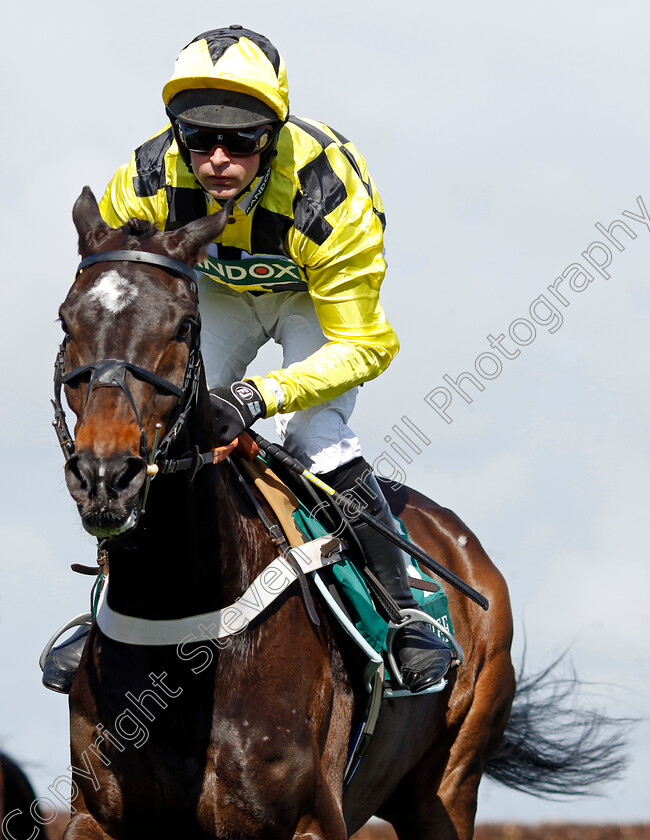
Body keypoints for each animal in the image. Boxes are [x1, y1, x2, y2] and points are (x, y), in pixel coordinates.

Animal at [54, 185, 624, 840]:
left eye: (185, 325)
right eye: (67, 320)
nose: (106, 476)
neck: (182, 622)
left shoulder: (308, 818)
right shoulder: (96, 815)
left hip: (448, 786)